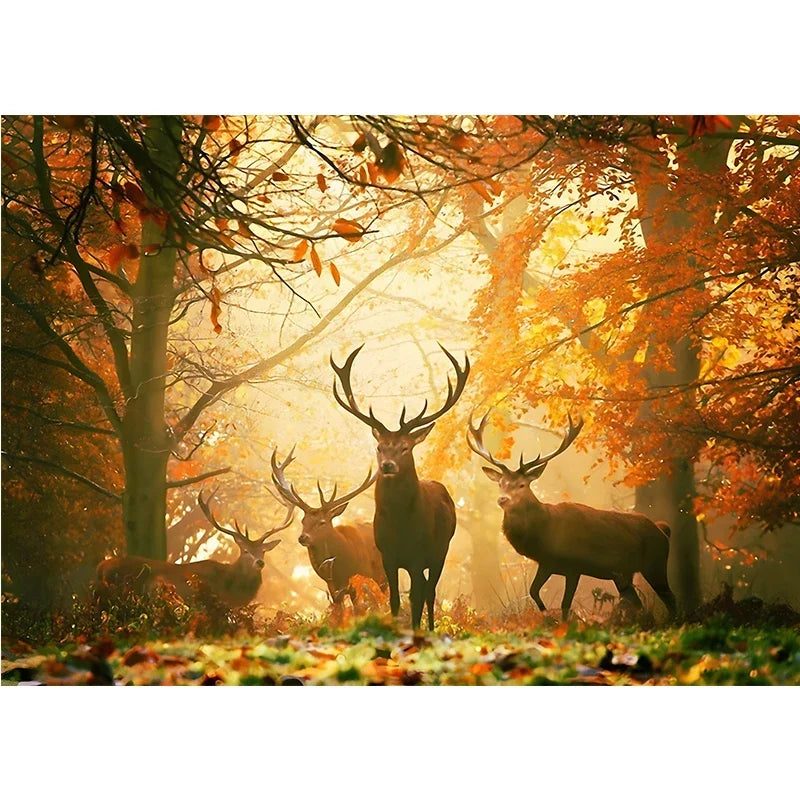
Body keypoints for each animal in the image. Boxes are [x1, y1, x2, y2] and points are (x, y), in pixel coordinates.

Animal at [330, 342, 470, 630]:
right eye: (380, 447)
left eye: (405, 447)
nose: (387, 465)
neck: (400, 526)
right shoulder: (388, 556)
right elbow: (394, 599)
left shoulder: (418, 555)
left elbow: (416, 597)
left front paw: (415, 631)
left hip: (441, 550)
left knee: (430, 591)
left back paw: (430, 628)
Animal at [467, 411, 676, 619]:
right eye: (500, 483)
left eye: (522, 485)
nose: (502, 499)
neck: (545, 534)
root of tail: (663, 530)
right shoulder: (547, 563)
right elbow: (534, 591)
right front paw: (546, 616)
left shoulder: (574, 566)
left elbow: (565, 604)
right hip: (624, 574)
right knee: (638, 602)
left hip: (655, 563)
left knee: (670, 598)